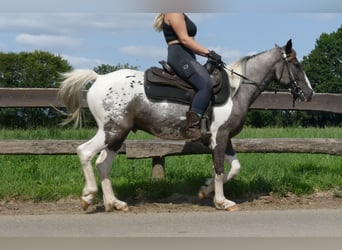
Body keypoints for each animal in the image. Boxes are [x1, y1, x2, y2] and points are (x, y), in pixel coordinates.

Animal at [58, 40, 312, 212]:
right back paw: (88, 196)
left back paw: (115, 203)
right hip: (112, 130)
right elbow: (220, 169)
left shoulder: (225, 138)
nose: (309, 93)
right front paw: (222, 201)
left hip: (117, 134)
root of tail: (99, 78)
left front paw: (205, 189)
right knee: (85, 152)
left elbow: (234, 167)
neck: (235, 90)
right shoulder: (219, 137)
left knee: (103, 163)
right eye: (296, 64)